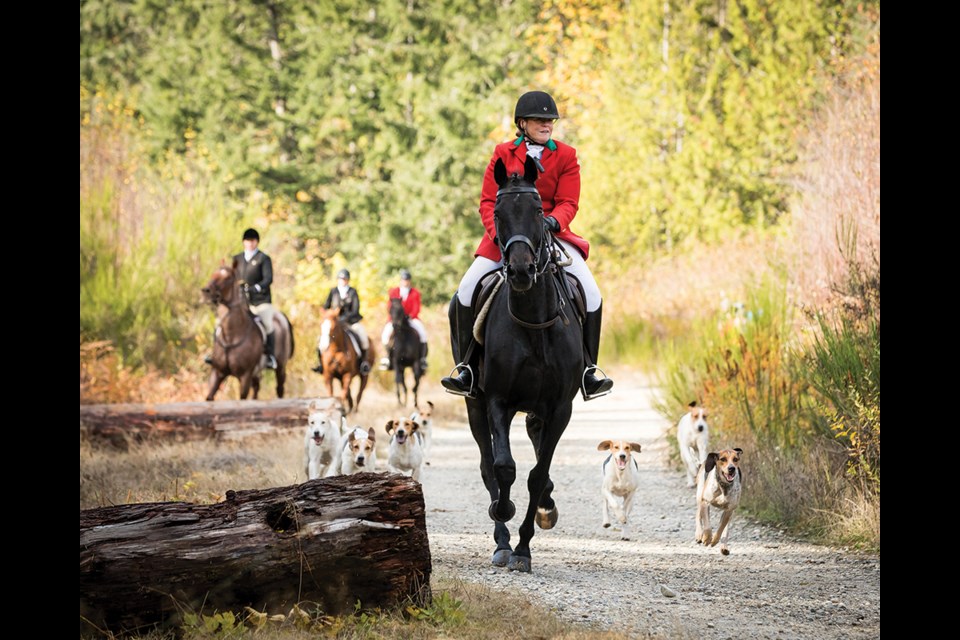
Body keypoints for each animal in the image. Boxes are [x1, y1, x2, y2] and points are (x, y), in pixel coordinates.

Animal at [202, 260, 292, 400]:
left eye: (228, 278)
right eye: (213, 273)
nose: (206, 291)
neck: (231, 336)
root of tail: (280, 316)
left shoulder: (245, 377)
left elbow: (242, 398)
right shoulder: (217, 373)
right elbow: (209, 397)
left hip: (280, 367)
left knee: (279, 388)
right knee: (256, 388)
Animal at [456, 156, 580, 576]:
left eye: (540, 210)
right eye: (497, 213)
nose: (523, 270)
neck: (533, 322)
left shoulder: (560, 408)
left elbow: (537, 474)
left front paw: (525, 547)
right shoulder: (497, 400)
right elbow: (503, 467)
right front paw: (505, 520)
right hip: (474, 403)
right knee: (485, 464)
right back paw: (500, 540)